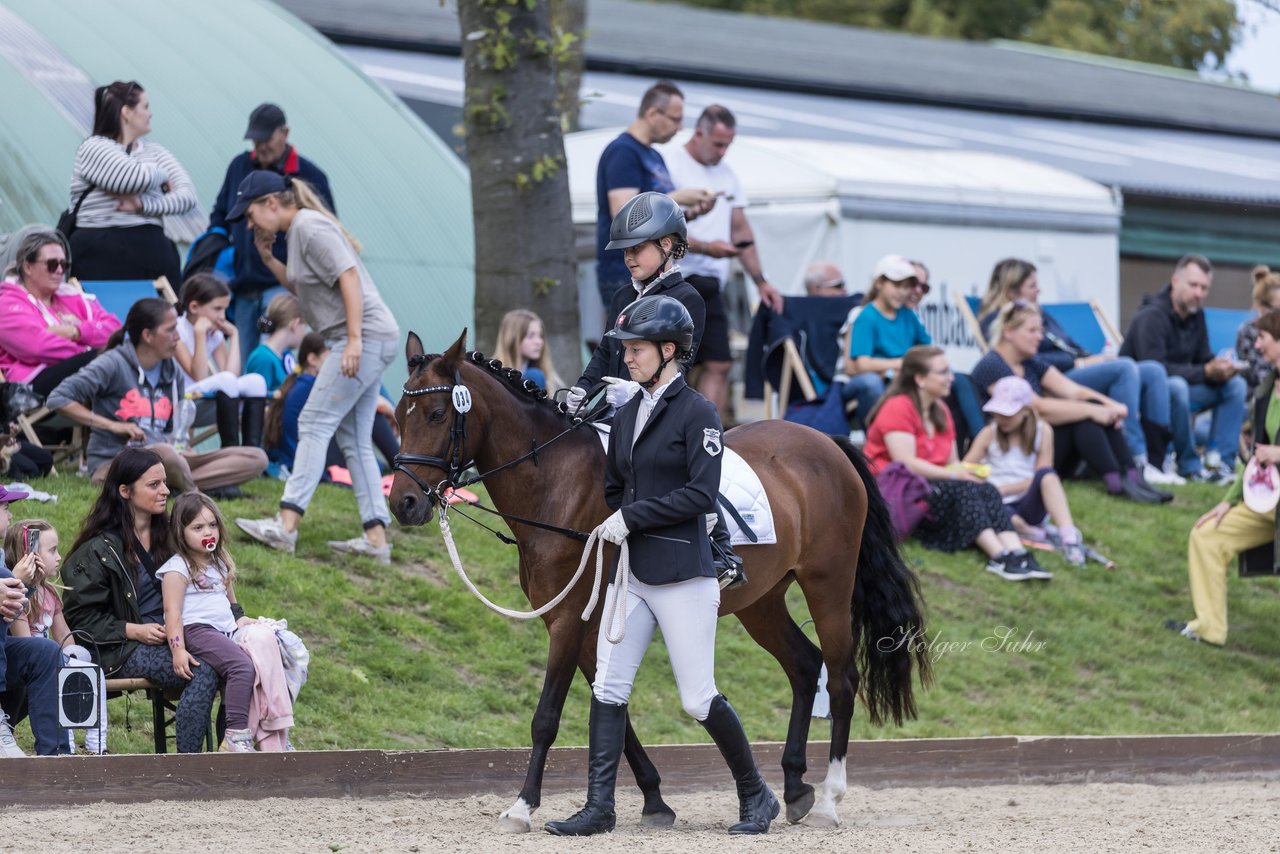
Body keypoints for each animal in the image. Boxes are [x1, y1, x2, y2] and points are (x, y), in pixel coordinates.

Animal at [389, 330, 931, 829]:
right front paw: (653, 800)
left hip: (828, 584)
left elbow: (547, 717)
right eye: (397, 415)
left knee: (840, 679)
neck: (555, 484)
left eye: (437, 415)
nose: (404, 504)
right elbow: (615, 711)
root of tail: (826, 442)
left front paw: (523, 807)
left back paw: (829, 801)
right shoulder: (585, 623)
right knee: (803, 666)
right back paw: (795, 788)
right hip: (763, 602)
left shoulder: (568, 620)